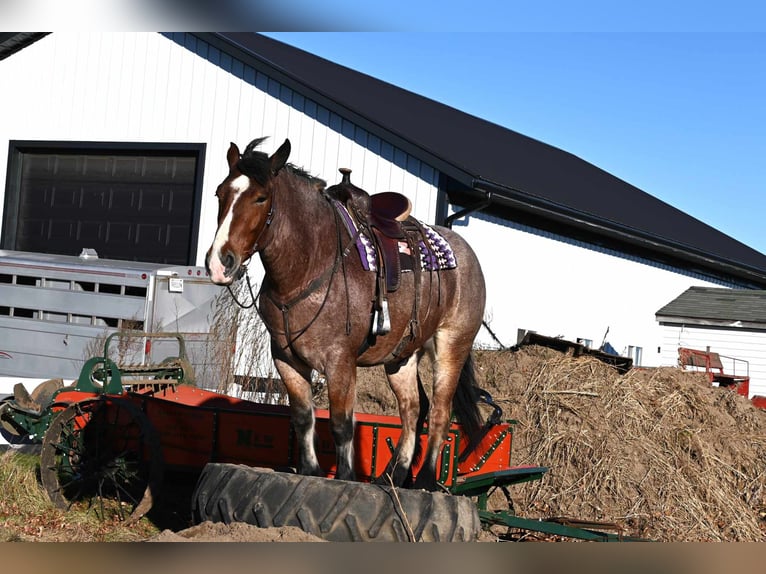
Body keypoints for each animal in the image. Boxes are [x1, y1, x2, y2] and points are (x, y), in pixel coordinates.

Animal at [206, 137, 486, 492]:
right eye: (220, 193)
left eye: (260, 197)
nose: (220, 262)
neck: (310, 264)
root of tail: (467, 254)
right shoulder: (285, 358)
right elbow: (303, 417)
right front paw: (309, 470)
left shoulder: (339, 361)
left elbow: (341, 423)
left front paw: (345, 476)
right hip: (402, 356)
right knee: (412, 409)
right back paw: (391, 477)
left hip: (451, 346)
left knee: (439, 411)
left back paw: (424, 480)